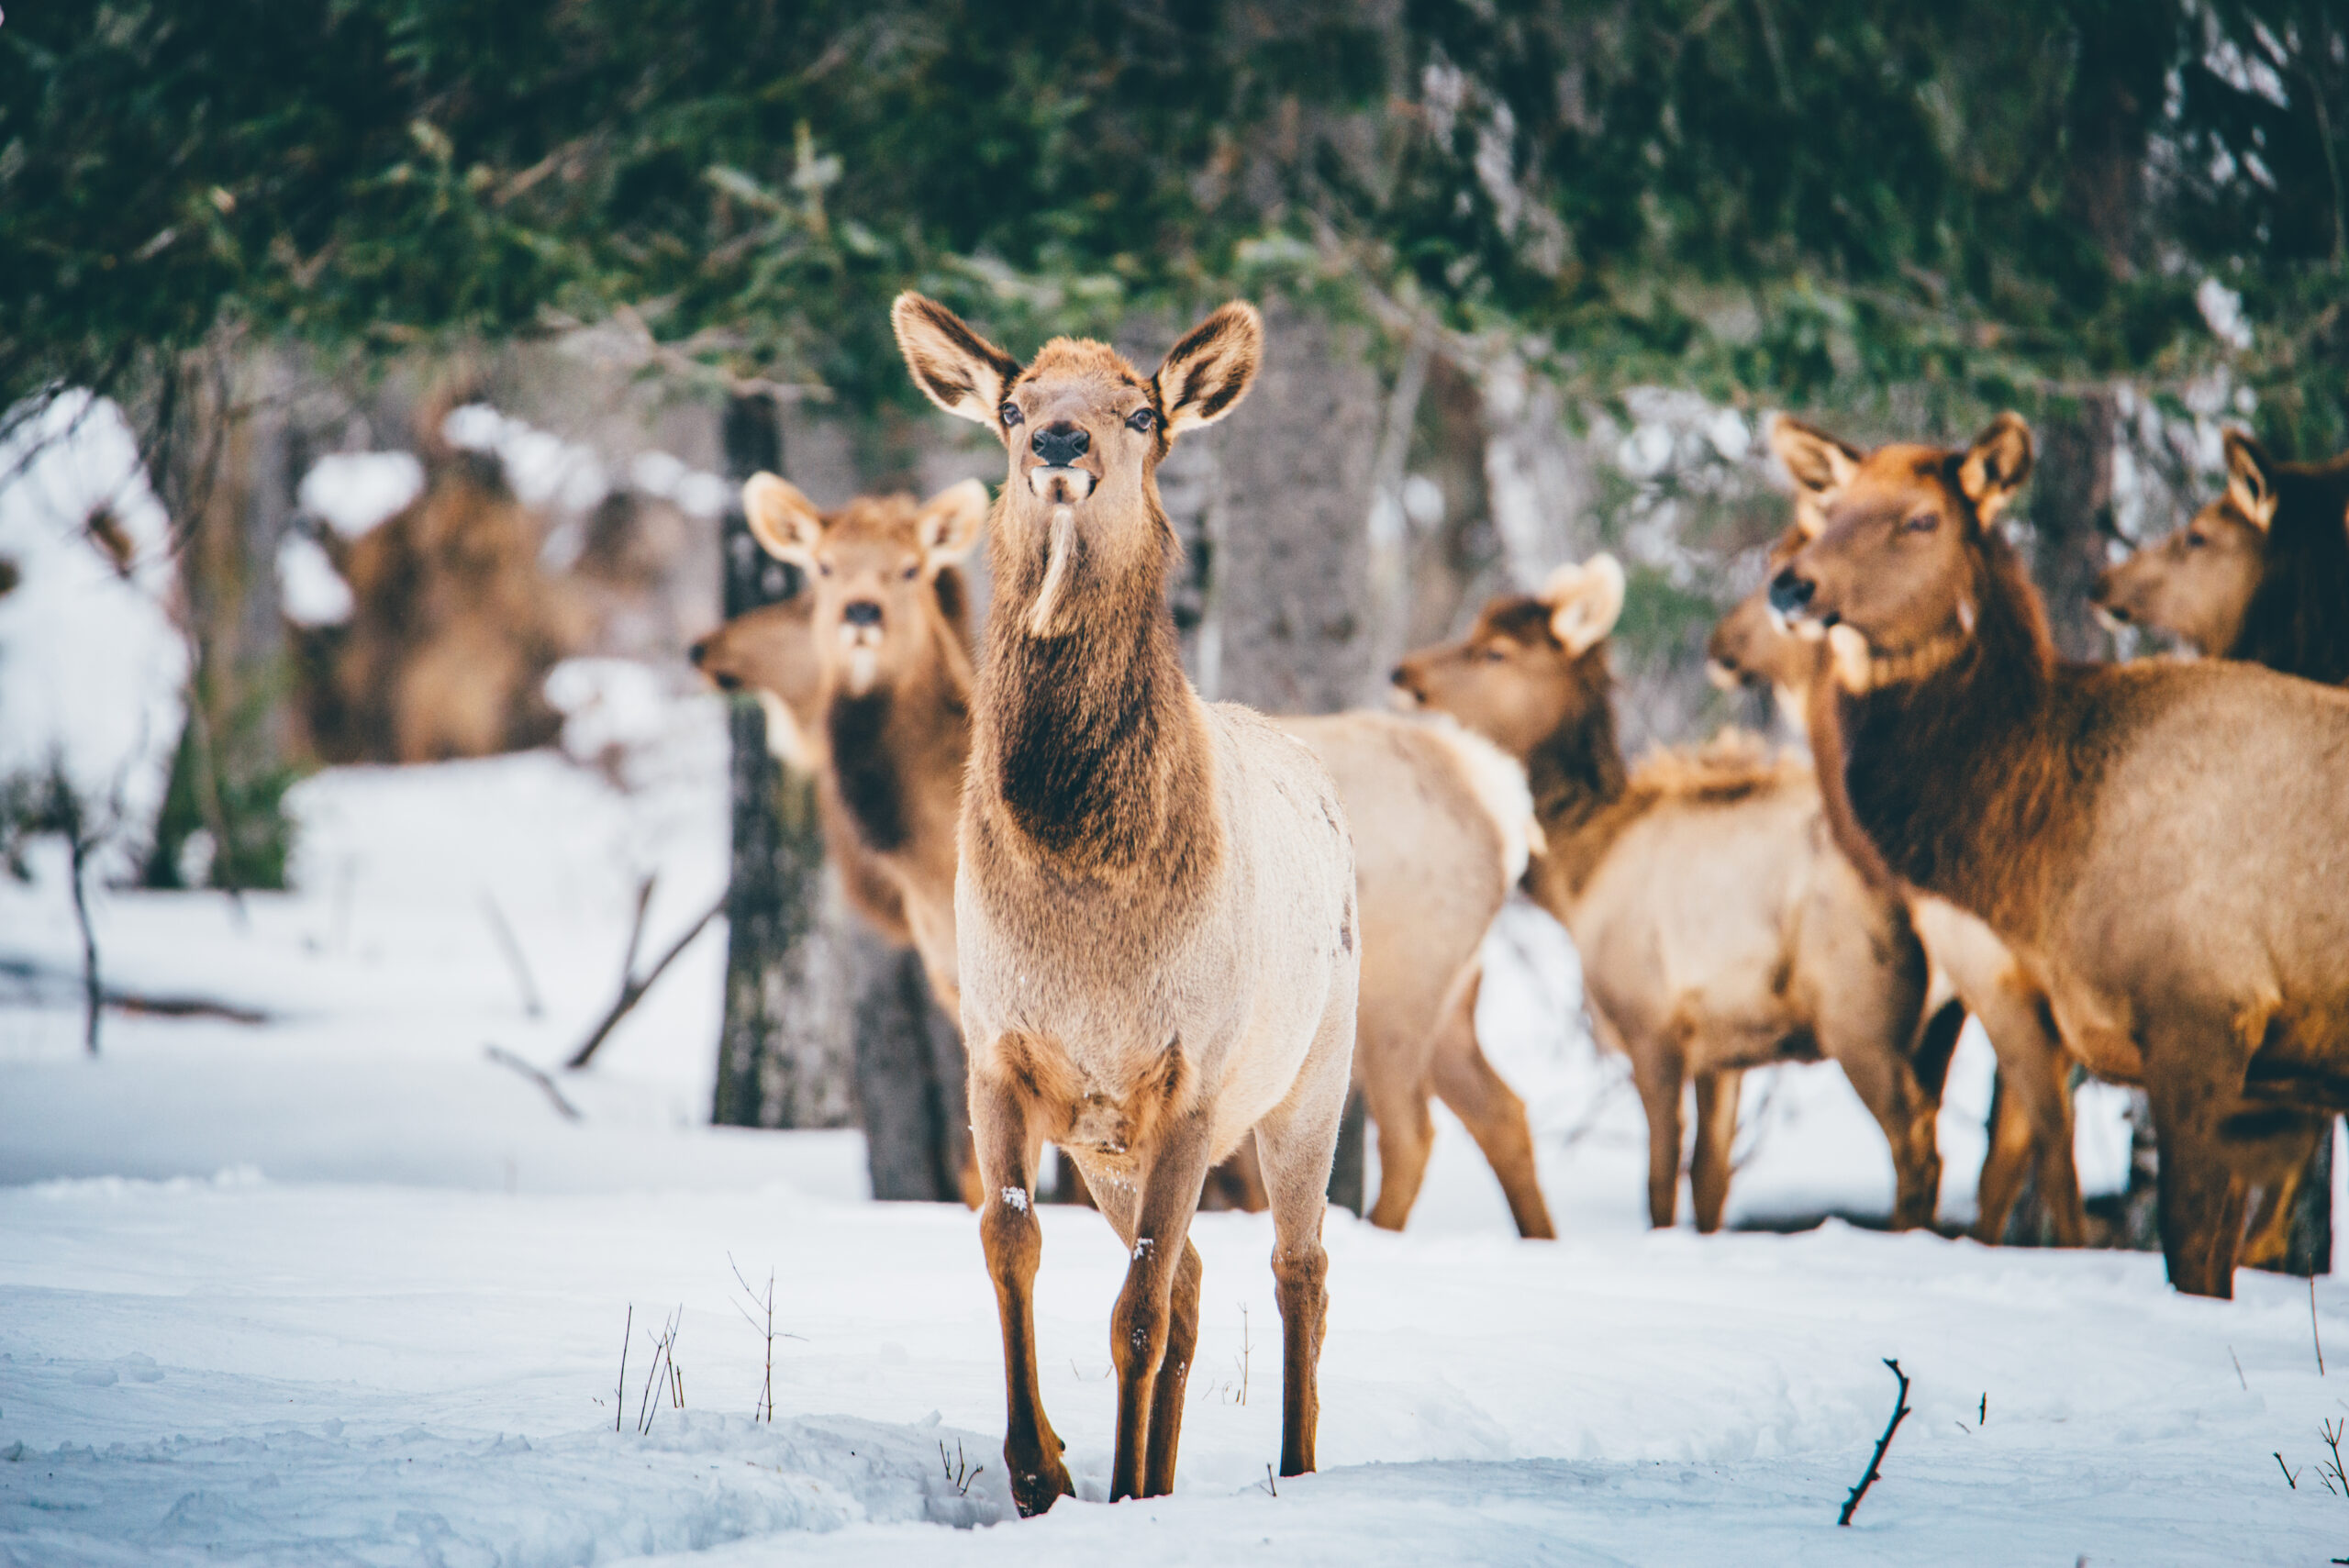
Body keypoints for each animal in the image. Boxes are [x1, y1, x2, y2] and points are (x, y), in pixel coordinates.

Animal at [896, 291, 1372, 1502]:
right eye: (1011, 406)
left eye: (1143, 410)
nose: (1061, 442)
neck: (1085, 898)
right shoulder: (999, 1050)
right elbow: (1010, 1245)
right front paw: (1044, 1471)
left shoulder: (1191, 1075)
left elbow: (1136, 1310)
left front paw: (1100, 1484)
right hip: (1110, 1147)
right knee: (1202, 1280)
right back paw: (1157, 1476)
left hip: (1313, 1072)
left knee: (1298, 1266)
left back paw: (1295, 1464)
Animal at [1390, 561, 1944, 1239]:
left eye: (1495, 649)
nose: (1404, 674)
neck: (1579, 878)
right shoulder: (1724, 1049)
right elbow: (1709, 1181)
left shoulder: (1649, 1024)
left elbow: (1658, 1181)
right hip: (1942, 1020)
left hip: (1864, 1016)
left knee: (1916, 1148)